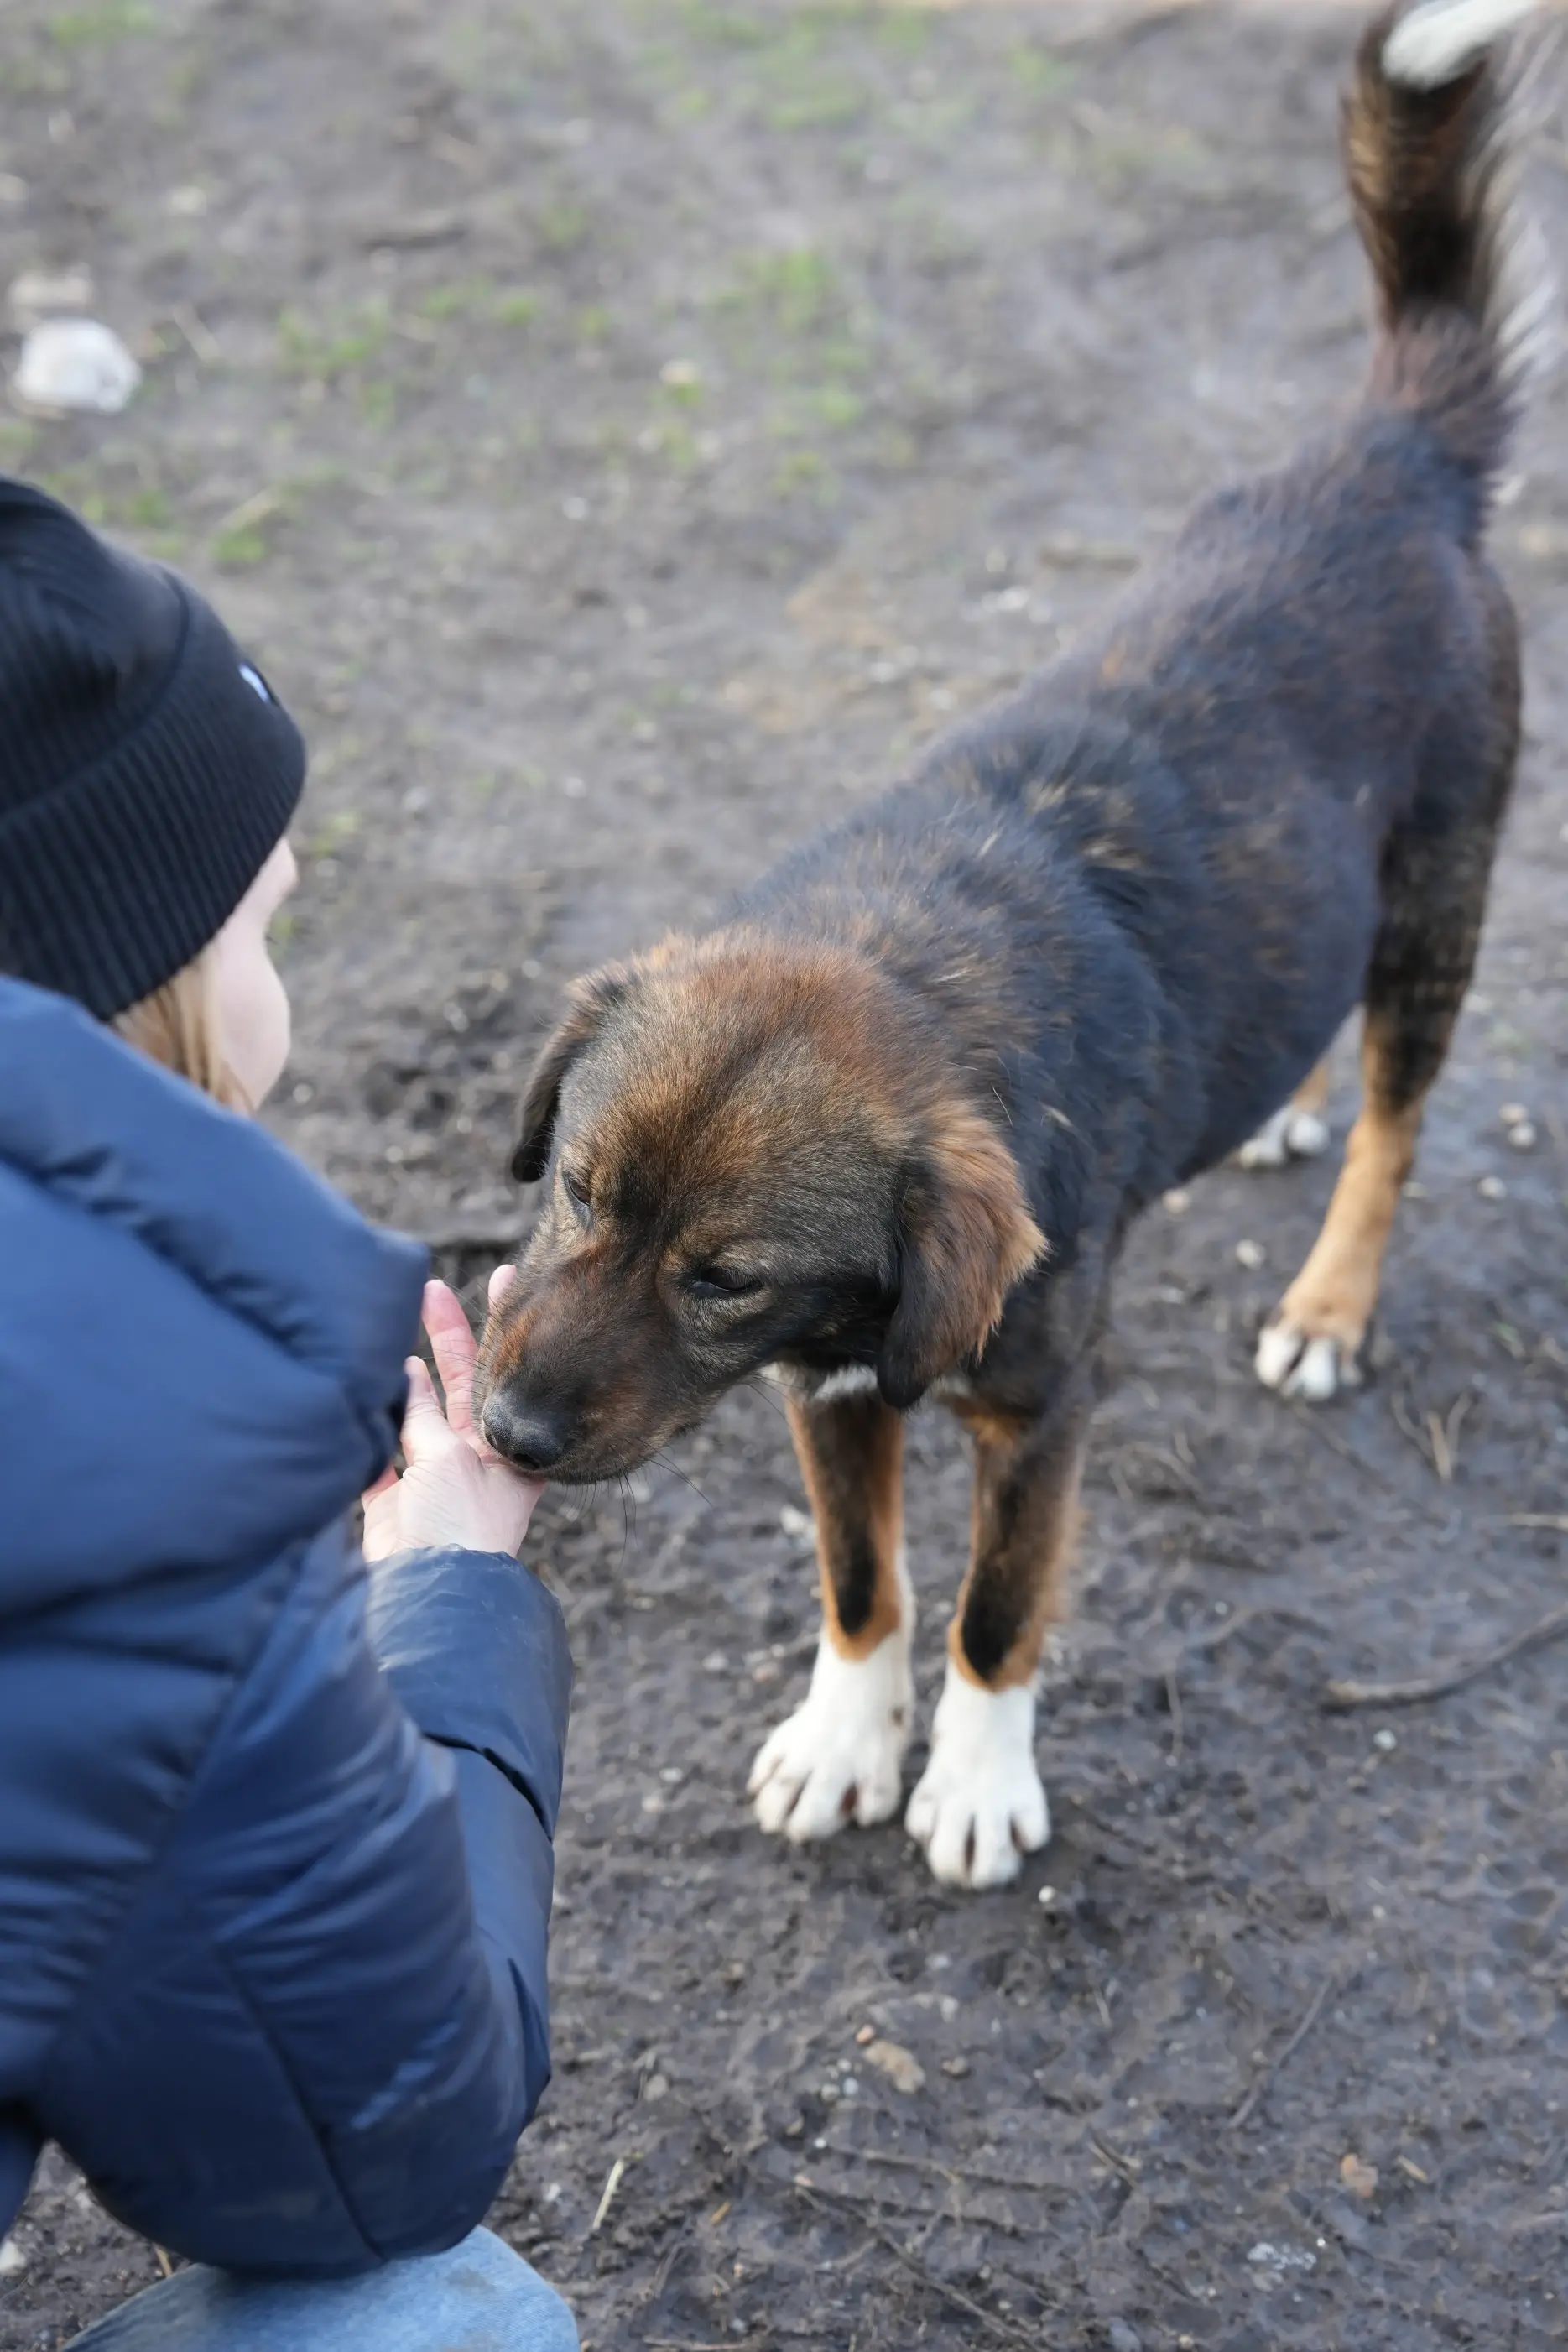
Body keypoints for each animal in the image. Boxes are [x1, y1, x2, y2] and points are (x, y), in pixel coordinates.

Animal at [475, 2, 1542, 1889]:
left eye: (722, 1275)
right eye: (578, 1190)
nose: (503, 1434)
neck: (909, 955)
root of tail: (1383, 458)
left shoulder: (1038, 1413)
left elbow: (986, 1607)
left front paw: (971, 1781)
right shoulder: (827, 1398)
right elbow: (859, 1579)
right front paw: (844, 1737)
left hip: (1438, 899)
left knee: (1398, 1121)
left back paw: (1327, 1302)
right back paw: (1274, 1109)